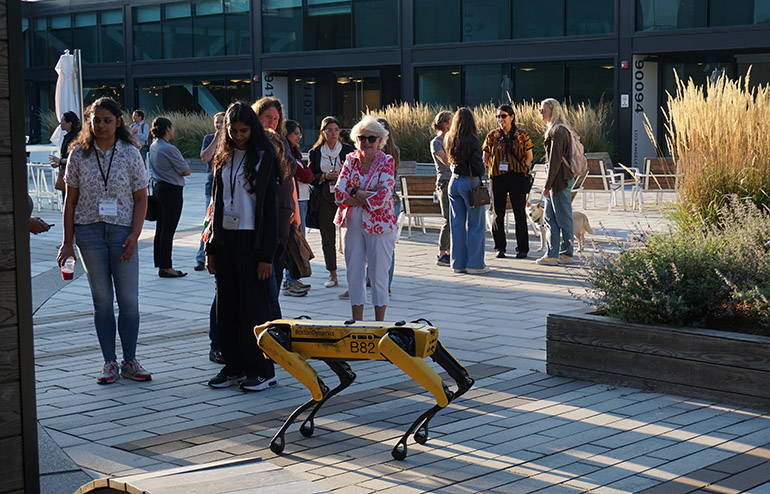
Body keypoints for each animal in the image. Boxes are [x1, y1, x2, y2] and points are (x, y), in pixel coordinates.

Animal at [256, 316, 474, 460]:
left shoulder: (392, 342)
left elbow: (320, 390)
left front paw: (278, 441)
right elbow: (337, 382)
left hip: (394, 347)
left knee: (445, 392)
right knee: (462, 382)